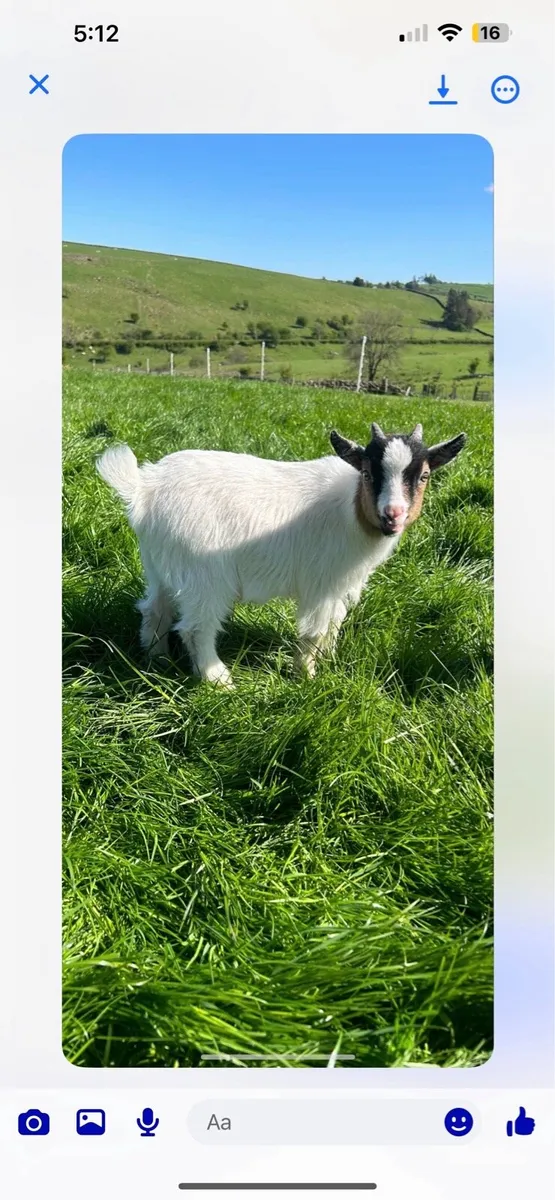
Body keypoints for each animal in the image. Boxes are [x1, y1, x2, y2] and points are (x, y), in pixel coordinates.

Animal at [97, 422, 466, 687]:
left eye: (424, 475)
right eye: (367, 473)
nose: (393, 515)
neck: (352, 512)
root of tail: (144, 489)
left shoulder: (341, 585)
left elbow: (334, 625)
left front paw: (328, 660)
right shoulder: (321, 584)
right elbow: (314, 631)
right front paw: (307, 676)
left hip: (160, 566)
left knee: (154, 609)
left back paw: (156, 660)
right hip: (205, 576)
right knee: (196, 628)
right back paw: (218, 680)